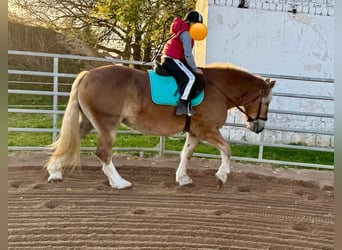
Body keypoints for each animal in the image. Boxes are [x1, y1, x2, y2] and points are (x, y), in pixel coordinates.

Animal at [46, 63, 276, 189]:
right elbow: (227, 149)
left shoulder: (195, 132)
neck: (217, 89)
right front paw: (222, 175)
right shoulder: (208, 130)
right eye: (266, 101)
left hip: (88, 123)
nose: (259, 127)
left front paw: (183, 178)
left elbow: (186, 154)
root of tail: (88, 75)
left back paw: (55, 172)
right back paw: (119, 182)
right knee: (103, 152)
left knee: (71, 142)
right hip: (107, 124)